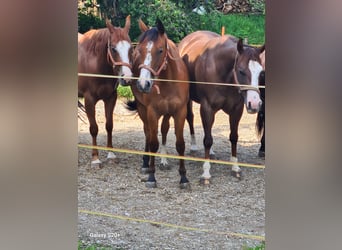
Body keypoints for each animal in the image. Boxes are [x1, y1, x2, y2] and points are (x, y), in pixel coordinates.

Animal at [78, 15, 133, 168]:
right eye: (113, 48)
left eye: (130, 48)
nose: (127, 78)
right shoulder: (89, 100)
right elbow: (94, 128)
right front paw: (95, 158)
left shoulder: (110, 98)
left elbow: (109, 125)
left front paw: (111, 154)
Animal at [125, 18, 190, 188]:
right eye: (138, 50)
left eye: (160, 50)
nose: (143, 84)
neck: (168, 81)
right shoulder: (152, 112)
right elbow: (153, 142)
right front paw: (151, 177)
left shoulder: (179, 112)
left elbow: (180, 143)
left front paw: (183, 178)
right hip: (142, 109)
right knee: (148, 133)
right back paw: (146, 163)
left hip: (167, 113)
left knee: (164, 129)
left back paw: (164, 160)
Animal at [178, 30, 266, 184]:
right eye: (241, 71)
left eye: (261, 73)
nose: (255, 103)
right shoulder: (206, 108)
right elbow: (207, 140)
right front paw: (206, 173)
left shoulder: (236, 110)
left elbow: (234, 137)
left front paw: (235, 167)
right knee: (190, 118)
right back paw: (194, 147)